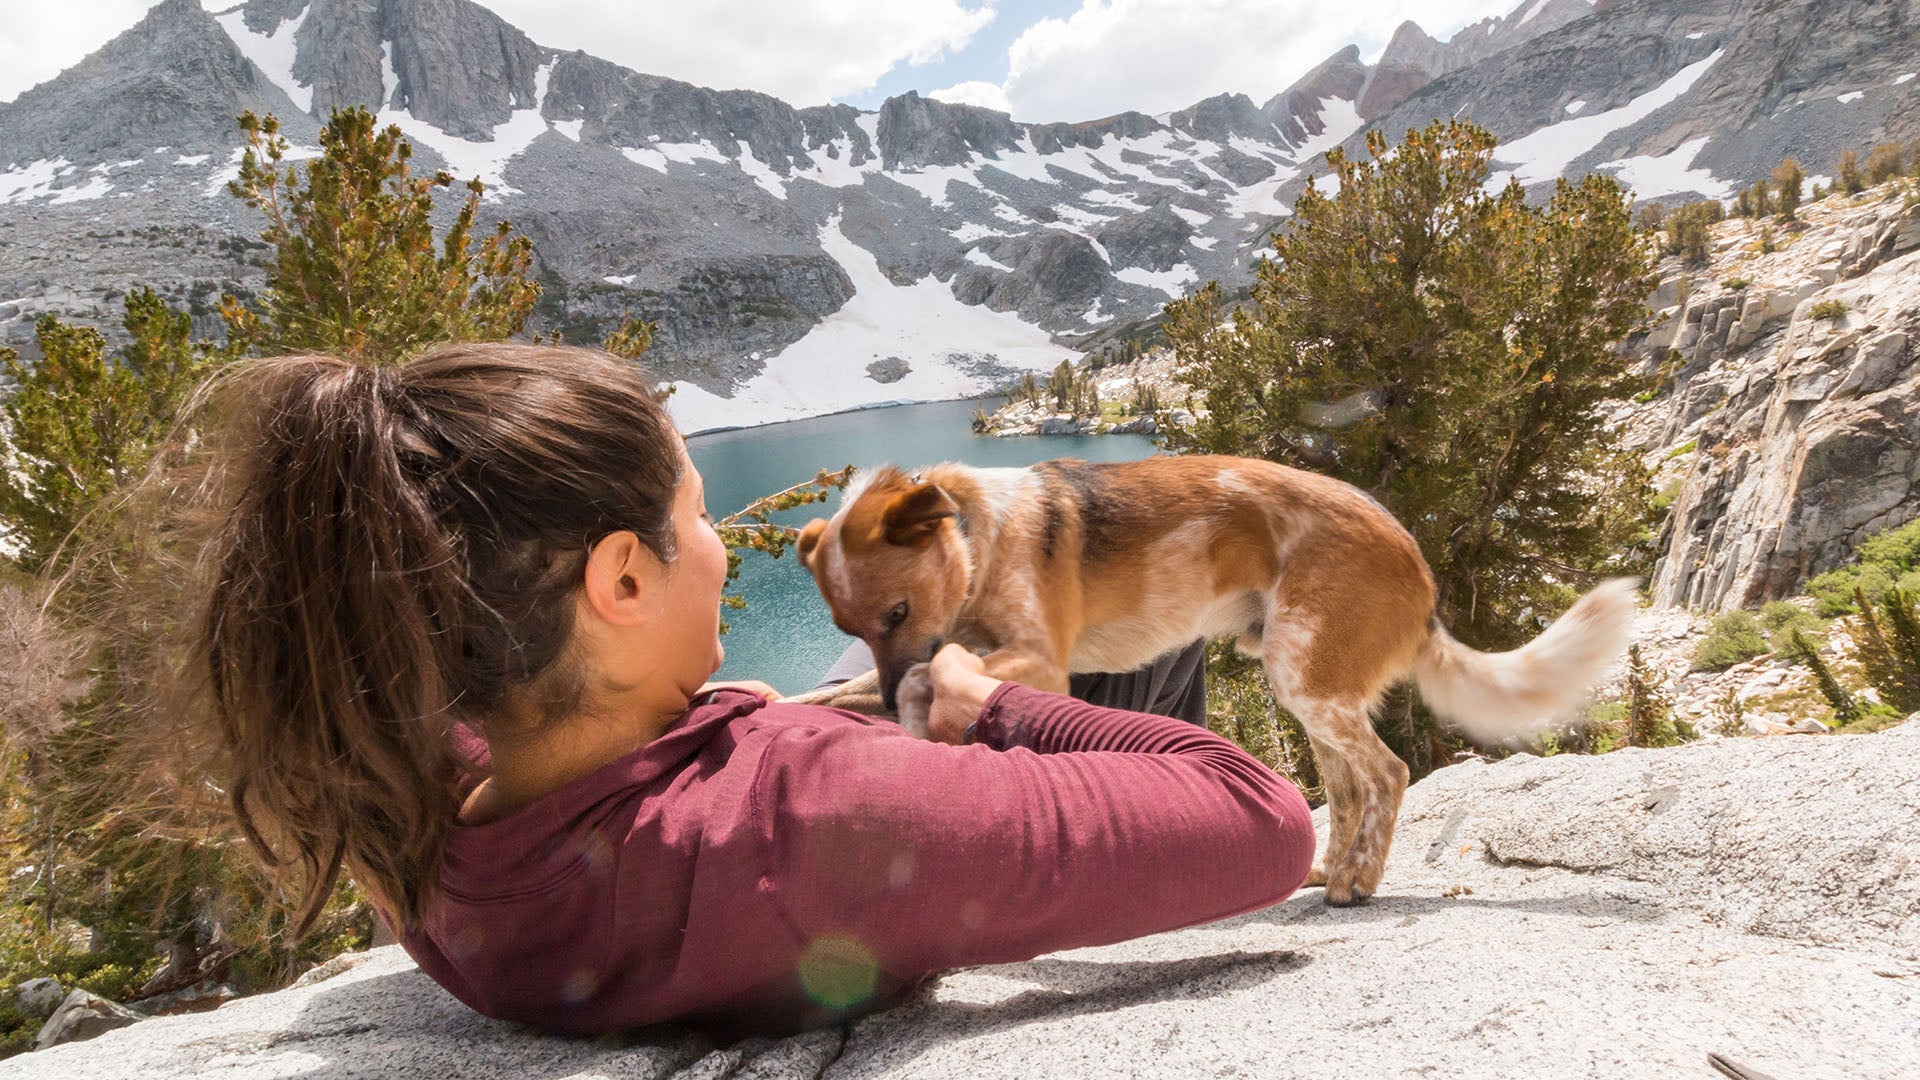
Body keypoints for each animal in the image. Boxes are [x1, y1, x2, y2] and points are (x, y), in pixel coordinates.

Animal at [794, 451, 1635, 899]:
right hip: (1308, 685)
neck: (977, 537)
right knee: (1350, 787)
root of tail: (1415, 560)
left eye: (898, 611)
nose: (890, 673)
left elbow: (918, 682)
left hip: (1307, 679)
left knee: (1389, 774)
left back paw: (1357, 882)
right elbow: (832, 691)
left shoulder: (1040, 661)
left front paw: (917, 719)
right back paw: (1329, 869)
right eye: (849, 630)